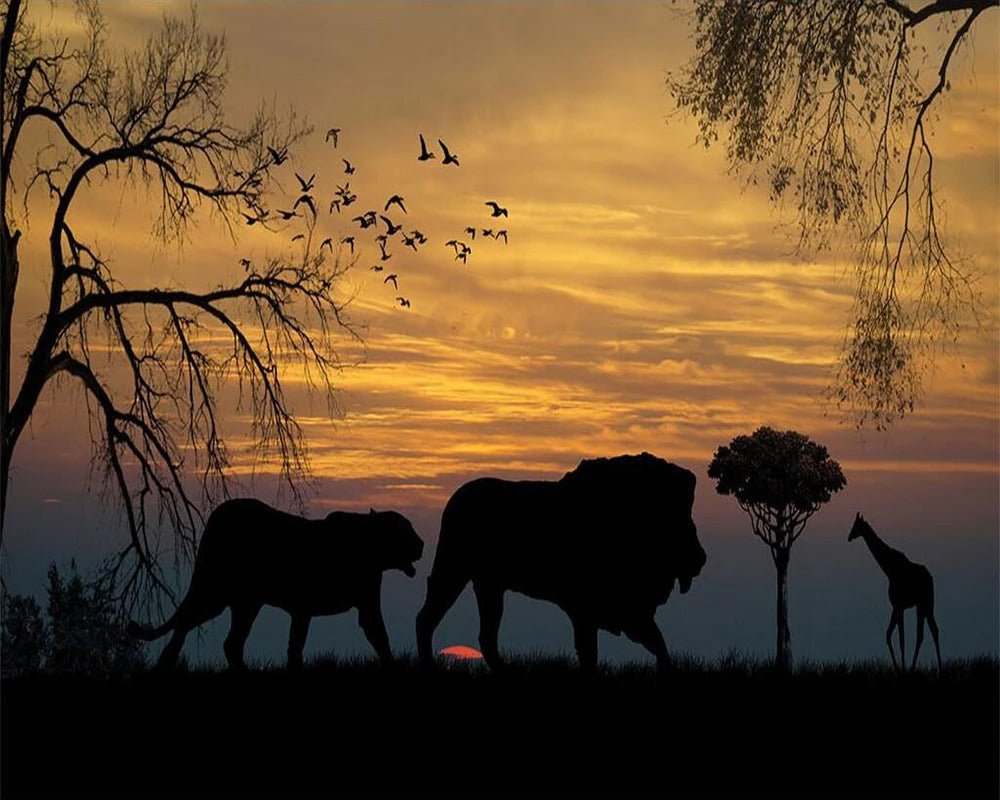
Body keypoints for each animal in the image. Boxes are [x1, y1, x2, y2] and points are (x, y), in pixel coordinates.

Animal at [129, 500, 422, 668]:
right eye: (406, 529)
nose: (421, 544)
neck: (370, 546)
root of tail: (217, 516)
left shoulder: (314, 609)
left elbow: (297, 644)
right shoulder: (317, 607)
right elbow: (380, 637)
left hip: (243, 603)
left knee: (223, 640)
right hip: (217, 593)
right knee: (190, 625)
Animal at [414, 454, 704, 672]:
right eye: (680, 521)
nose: (700, 558)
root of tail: (455, 500)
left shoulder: (627, 613)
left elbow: (657, 642)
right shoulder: (589, 611)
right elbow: (591, 654)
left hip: (488, 586)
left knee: (485, 635)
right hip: (454, 571)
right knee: (428, 617)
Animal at [848, 512, 940, 668]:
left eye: (856, 525)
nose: (849, 537)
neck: (889, 569)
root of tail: (930, 578)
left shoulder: (898, 605)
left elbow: (900, 639)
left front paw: (901, 668)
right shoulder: (897, 607)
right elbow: (889, 634)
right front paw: (899, 667)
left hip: (925, 602)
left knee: (926, 632)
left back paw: (918, 667)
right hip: (924, 604)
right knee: (929, 631)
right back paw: (934, 667)